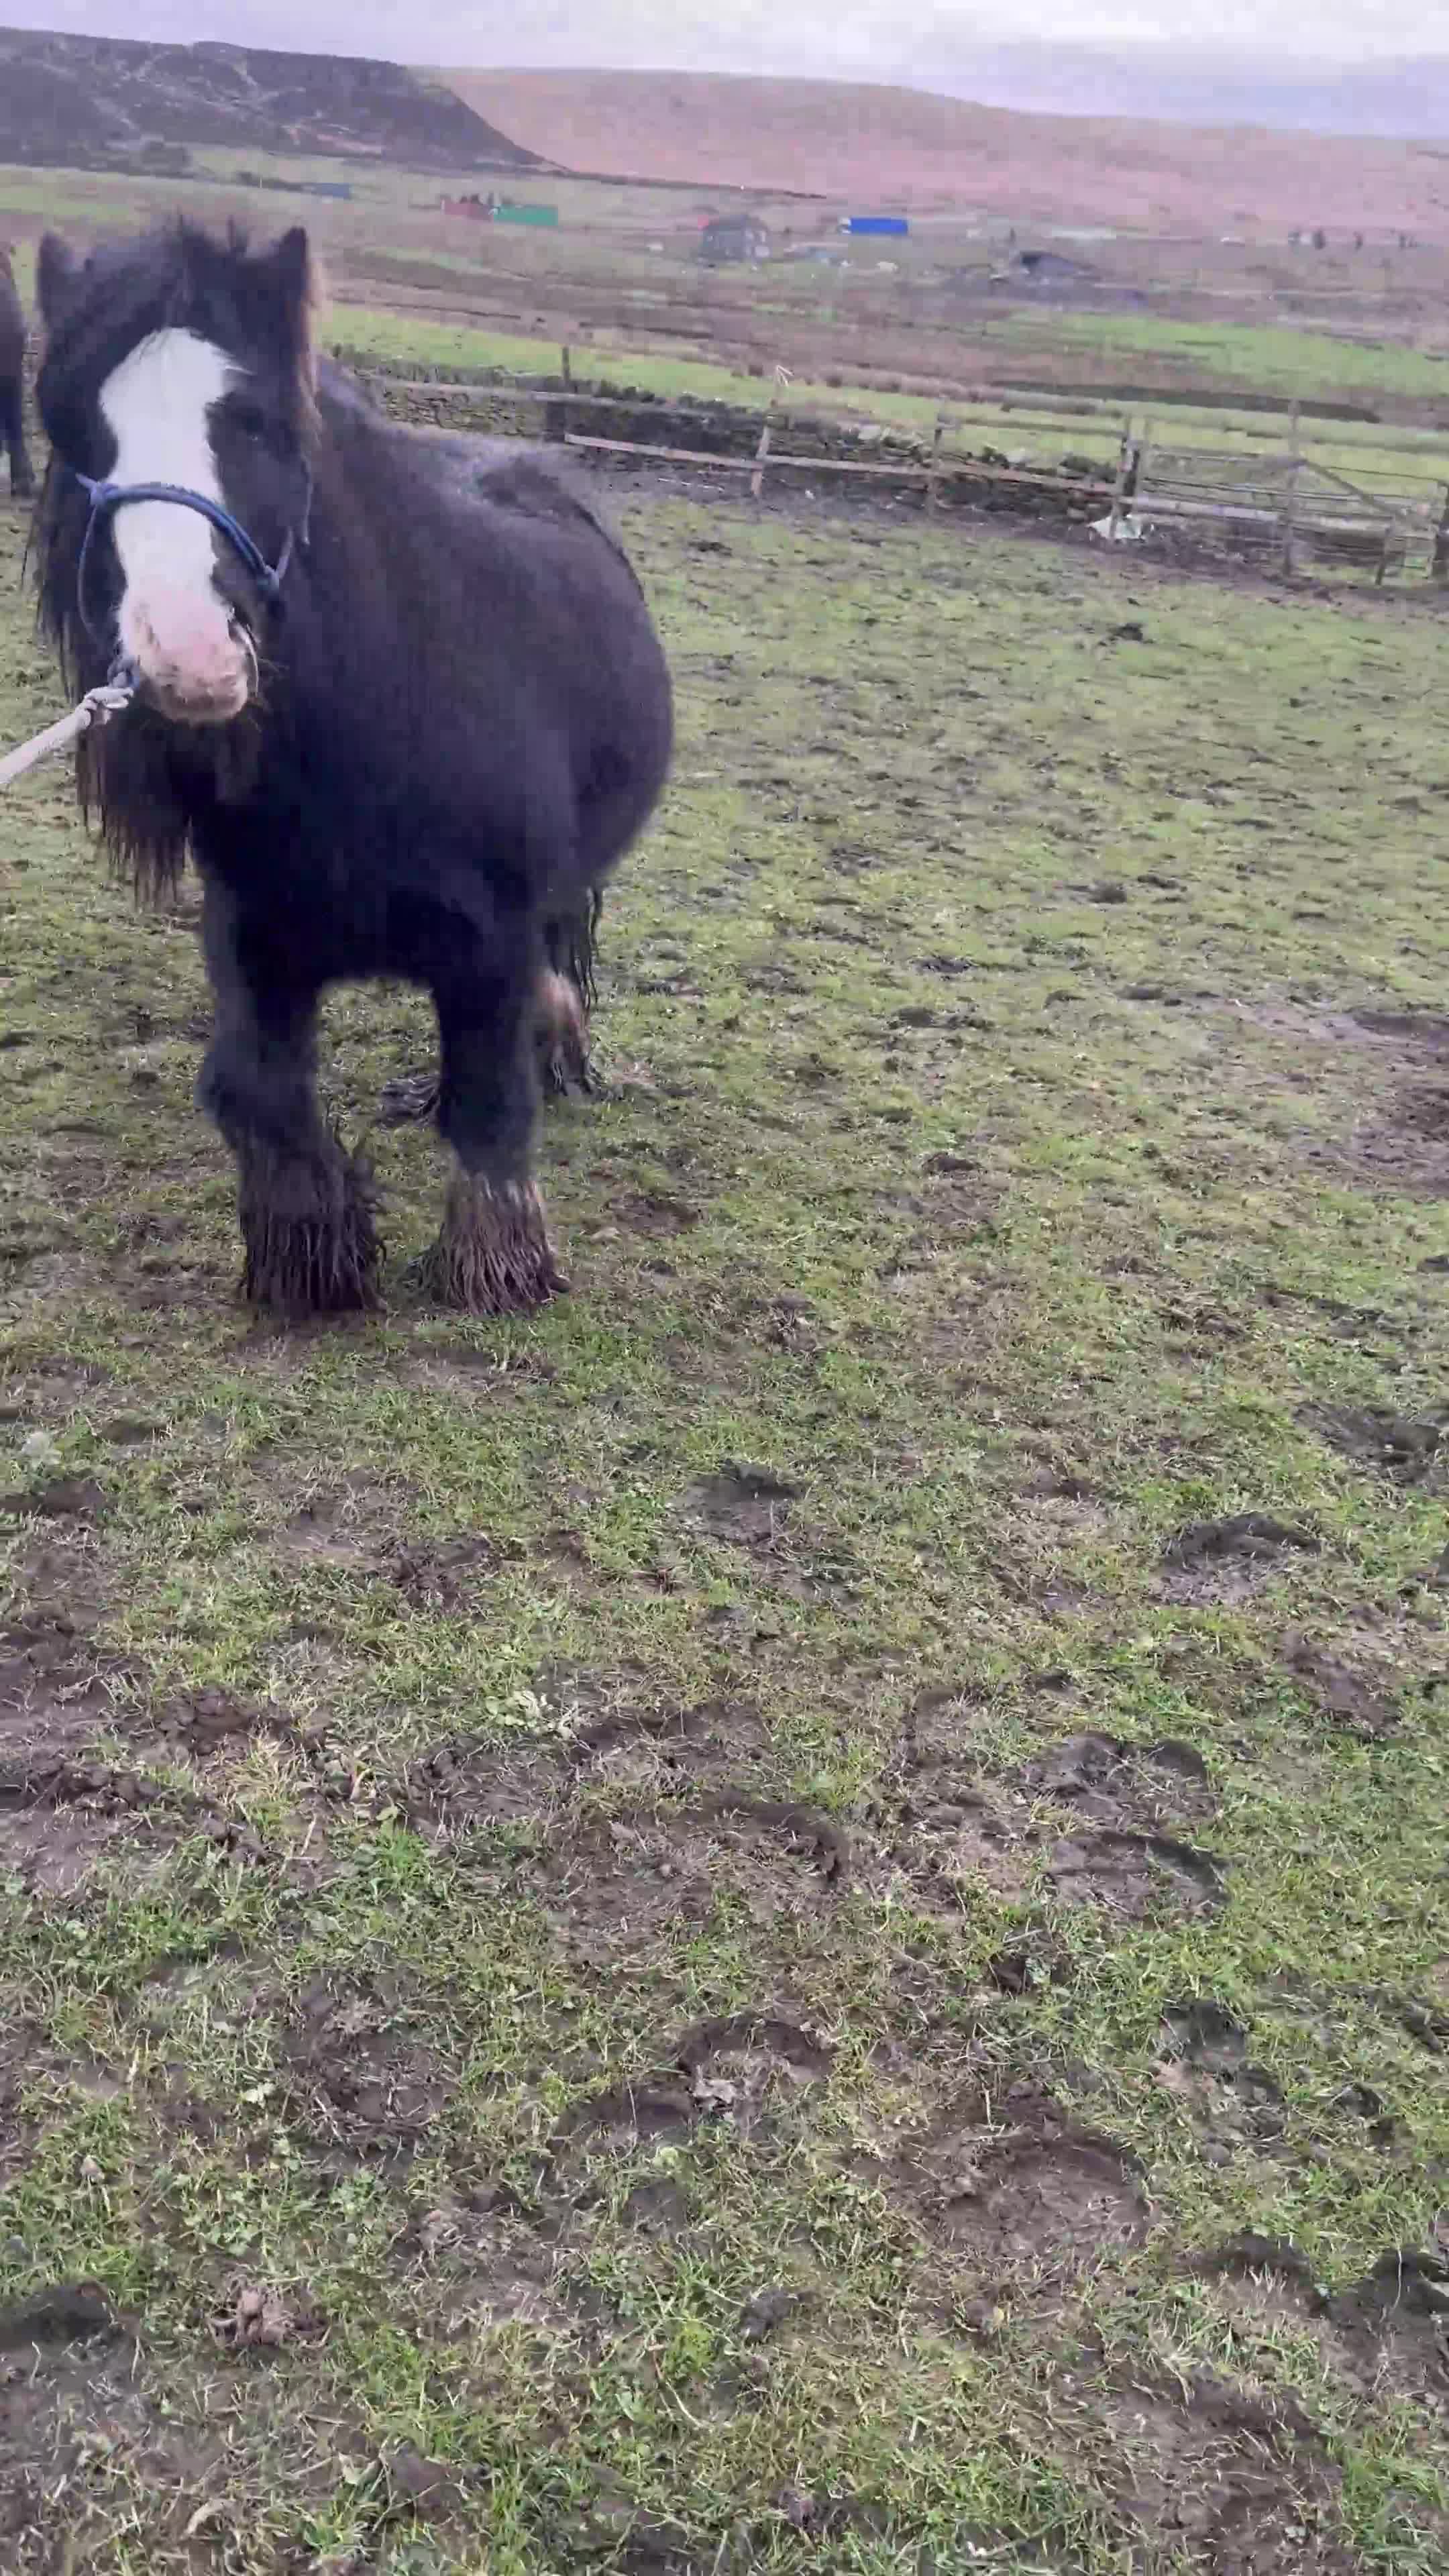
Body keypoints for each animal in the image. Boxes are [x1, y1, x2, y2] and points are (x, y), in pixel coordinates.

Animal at [30, 219, 673, 1317]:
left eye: (254, 423)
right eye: (83, 441)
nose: (186, 649)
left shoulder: (491, 940)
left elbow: (492, 1103)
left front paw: (496, 1265)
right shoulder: (253, 938)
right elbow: (257, 1094)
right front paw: (311, 1259)